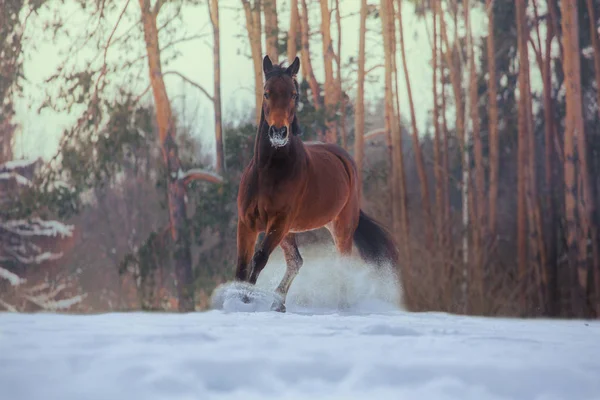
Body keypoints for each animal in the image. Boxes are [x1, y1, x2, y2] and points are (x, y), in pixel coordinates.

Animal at [234, 55, 398, 312]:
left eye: (293, 94)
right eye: (267, 93)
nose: (278, 132)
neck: (268, 172)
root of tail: (344, 159)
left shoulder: (279, 223)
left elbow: (259, 259)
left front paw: (247, 301)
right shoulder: (247, 223)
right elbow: (242, 266)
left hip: (340, 227)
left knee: (342, 264)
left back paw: (341, 306)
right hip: (292, 232)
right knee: (296, 262)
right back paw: (278, 304)